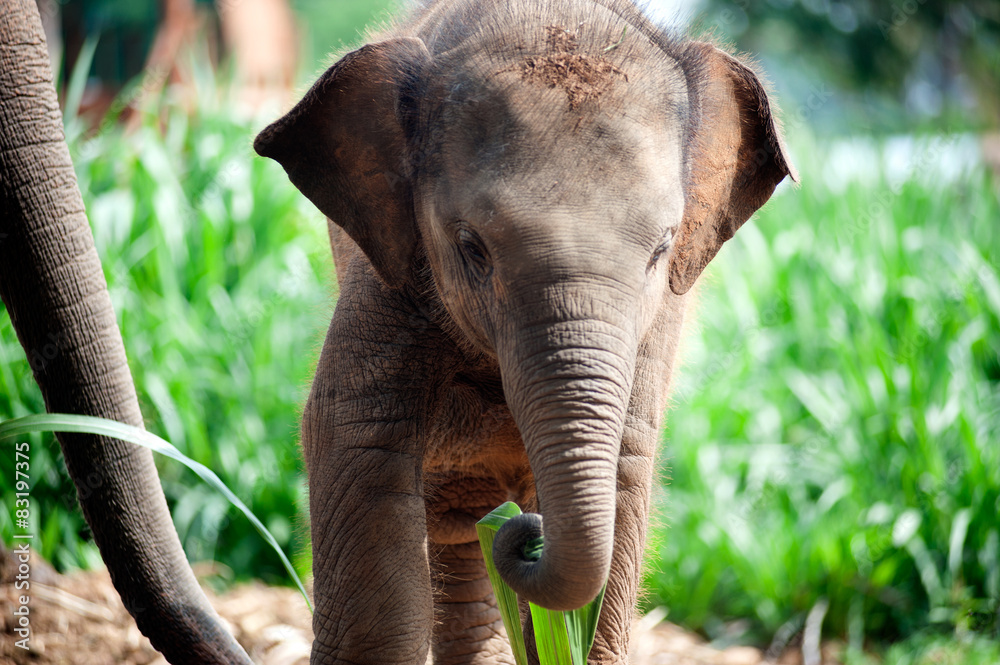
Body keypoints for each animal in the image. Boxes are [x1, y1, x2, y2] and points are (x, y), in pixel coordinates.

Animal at [254, 0, 797, 663]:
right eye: (472, 247)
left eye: (661, 249)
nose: (526, 533)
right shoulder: (390, 275)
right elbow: (358, 440)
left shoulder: (659, 320)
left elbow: (626, 464)